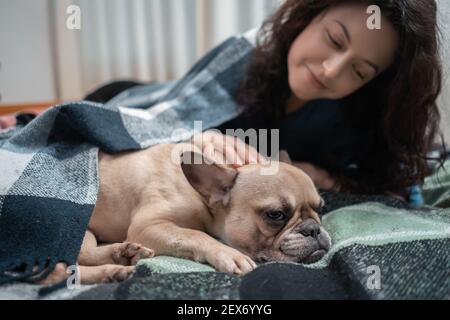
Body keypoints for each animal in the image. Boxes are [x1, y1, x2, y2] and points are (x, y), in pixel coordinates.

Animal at [41, 144, 330, 284]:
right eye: (275, 215)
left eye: (321, 208)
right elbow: (195, 235)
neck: (203, 201)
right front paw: (229, 254)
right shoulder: (148, 226)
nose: (313, 229)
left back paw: (120, 259)